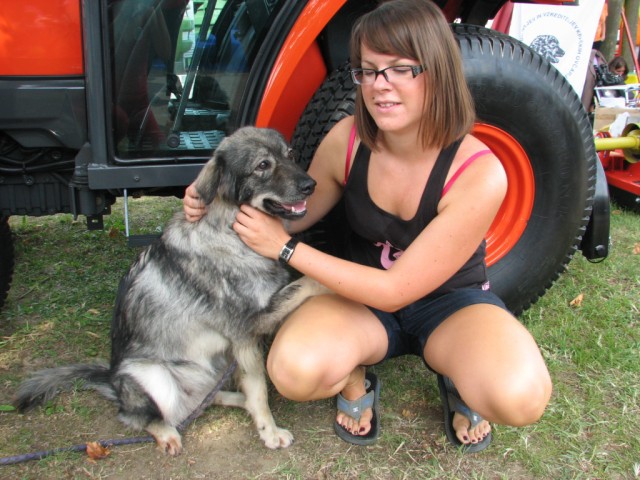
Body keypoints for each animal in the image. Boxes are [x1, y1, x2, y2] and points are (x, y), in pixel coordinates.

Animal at [13, 126, 330, 454]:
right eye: (263, 165)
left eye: (290, 154)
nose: (311, 185)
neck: (229, 229)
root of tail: (112, 381)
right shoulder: (246, 330)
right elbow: (260, 385)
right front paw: (270, 431)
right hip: (154, 378)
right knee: (142, 415)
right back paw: (167, 432)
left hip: (213, 366)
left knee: (206, 399)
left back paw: (235, 400)